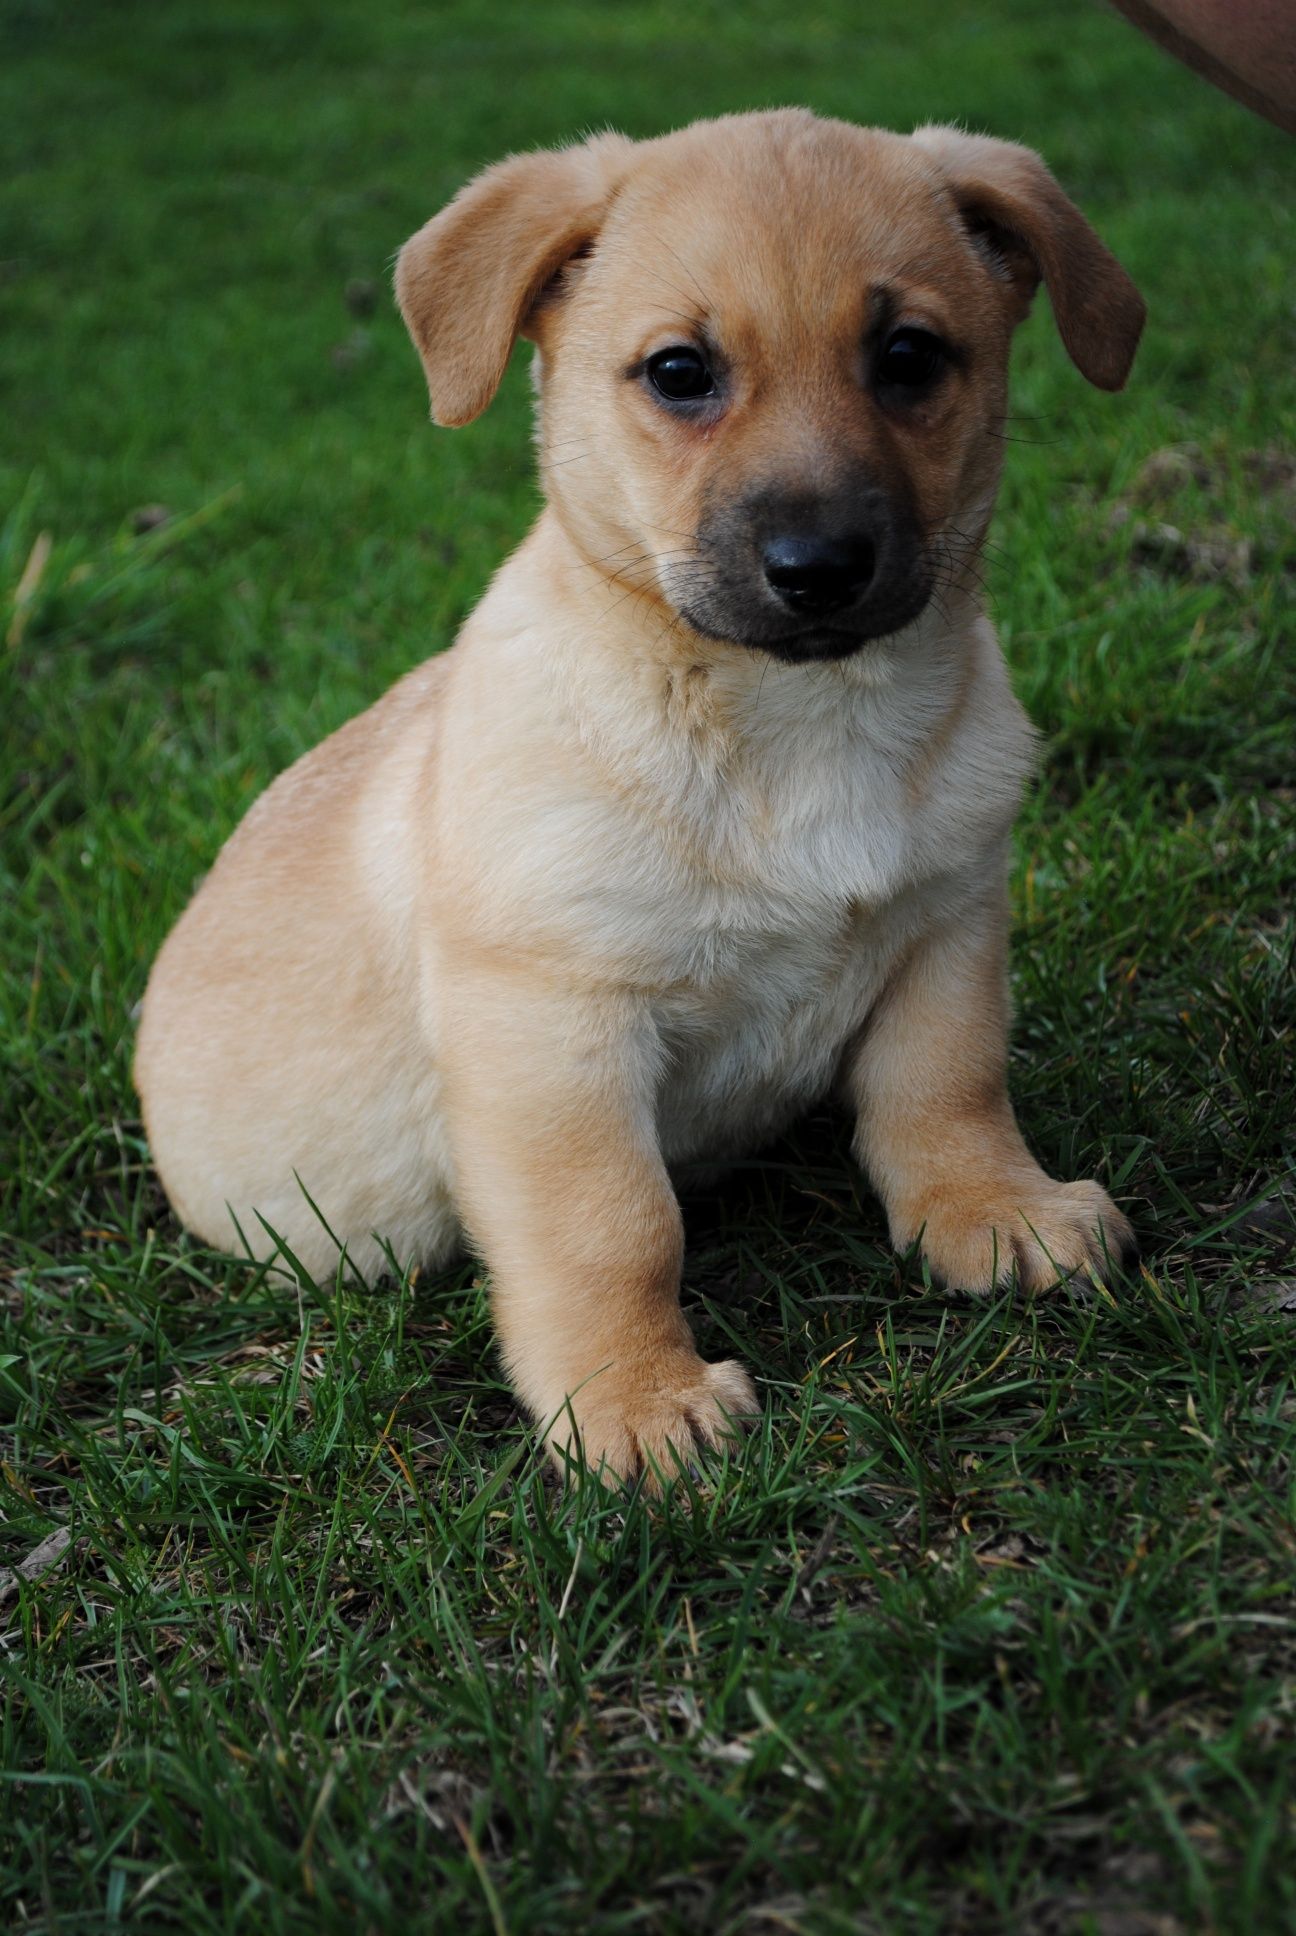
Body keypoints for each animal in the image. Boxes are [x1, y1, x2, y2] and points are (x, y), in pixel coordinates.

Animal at [133, 109, 1139, 1479]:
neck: (790, 726)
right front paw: (632, 1399)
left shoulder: (947, 931)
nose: (819, 567)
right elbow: (611, 1228)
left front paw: (998, 1210)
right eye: (679, 373)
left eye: (909, 357)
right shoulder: (554, 1034)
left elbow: (950, 1091)